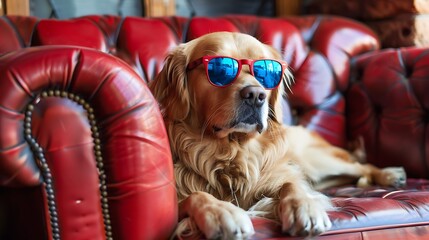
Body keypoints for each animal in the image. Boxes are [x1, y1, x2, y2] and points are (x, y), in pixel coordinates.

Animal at [149, 31, 406, 238]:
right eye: (220, 68)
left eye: (265, 70)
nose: (256, 95)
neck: (233, 152)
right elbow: (196, 196)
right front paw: (221, 212)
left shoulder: (282, 174)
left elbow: (292, 185)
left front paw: (303, 207)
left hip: (317, 160)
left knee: (361, 166)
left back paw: (390, 174)